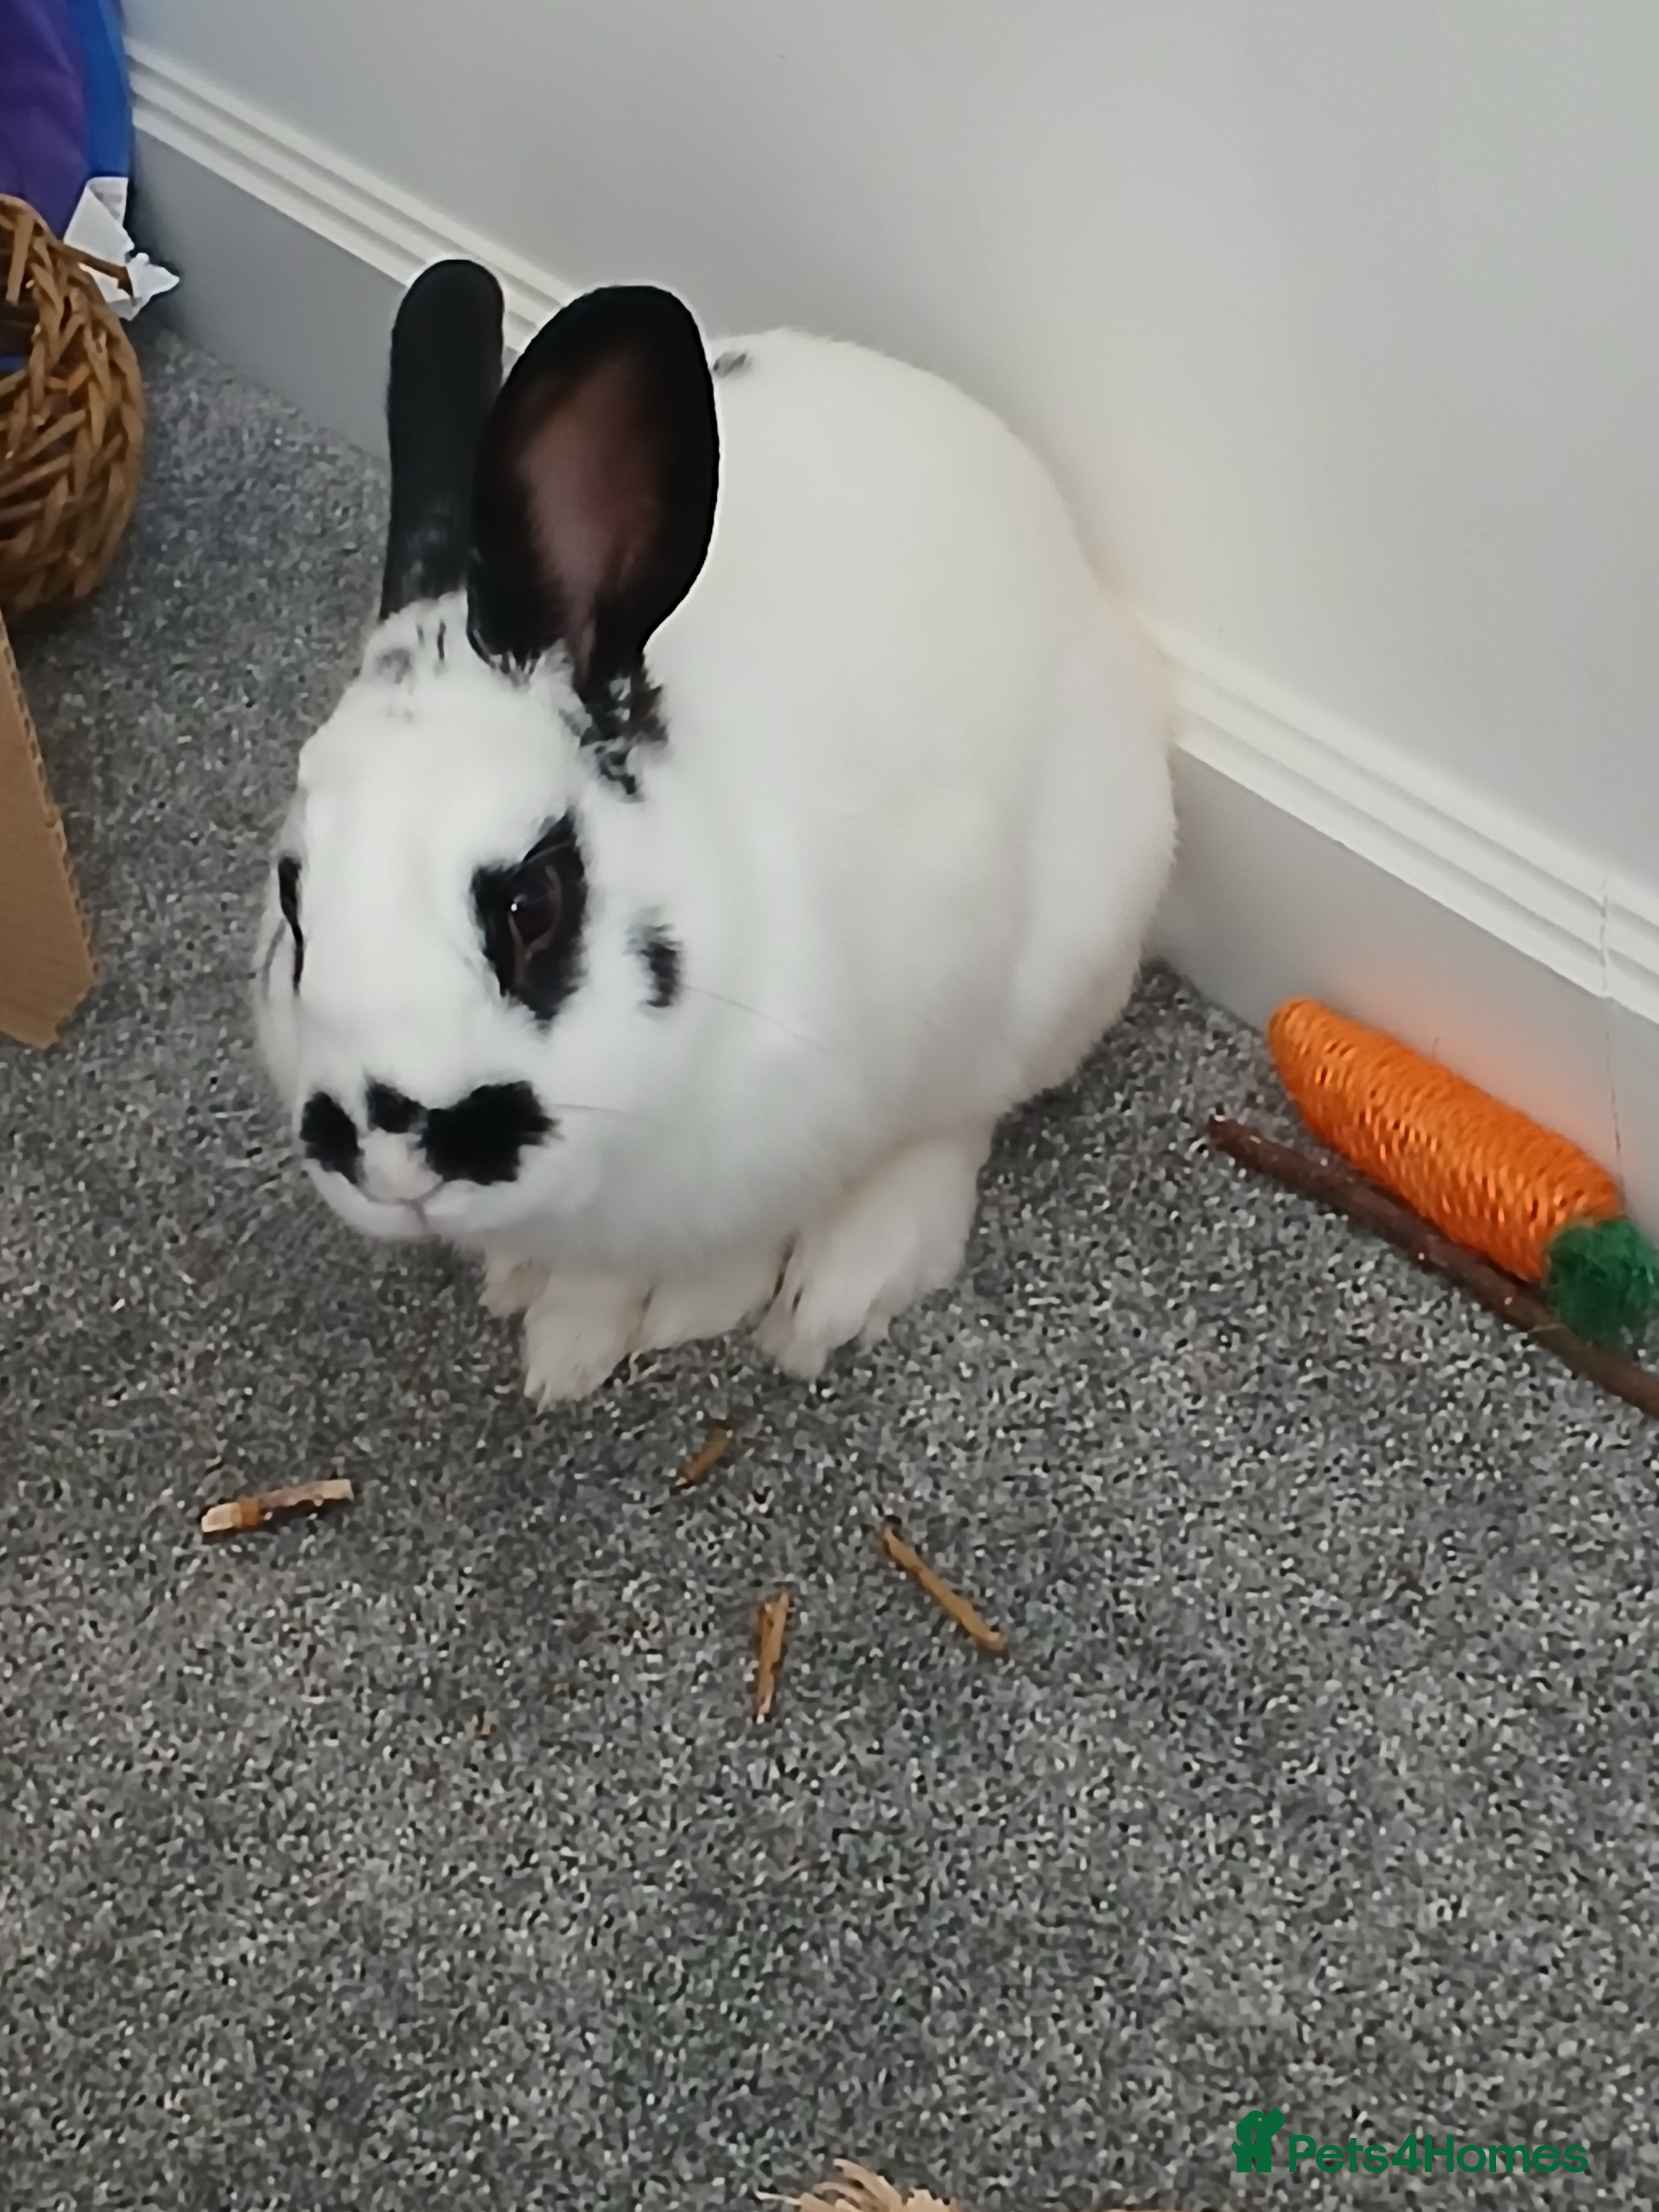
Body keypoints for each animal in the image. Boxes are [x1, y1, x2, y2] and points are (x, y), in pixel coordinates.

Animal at [254, 259, 1176, 1405]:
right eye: (293, 896)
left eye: (532, 905)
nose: (391, 1161)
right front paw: (563, 1332)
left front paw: (664, 1322)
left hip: (1059, 963)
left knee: (961, 1118)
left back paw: (843, 1286)